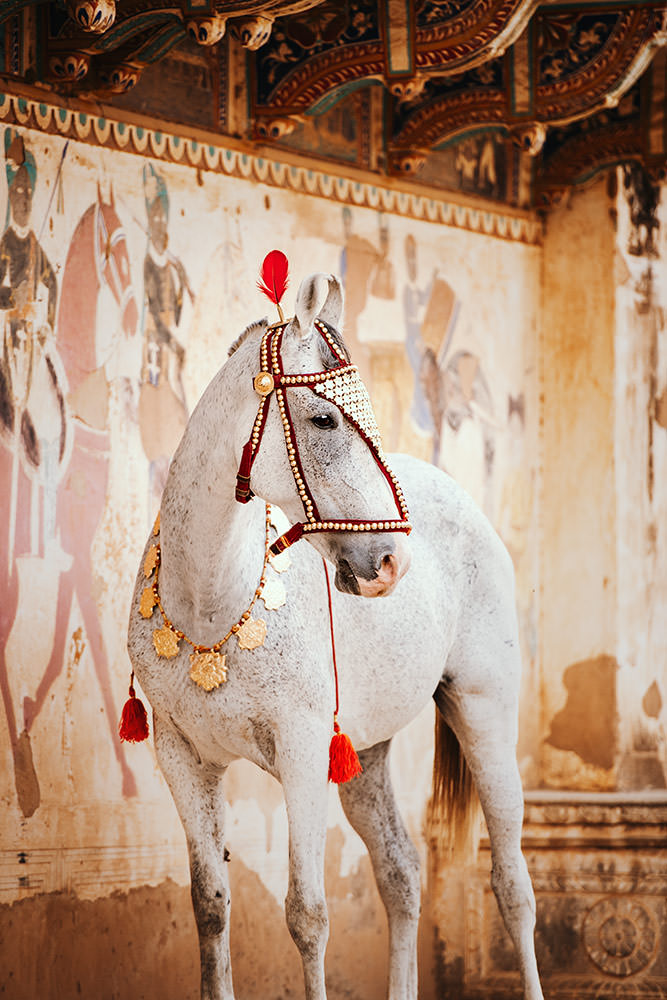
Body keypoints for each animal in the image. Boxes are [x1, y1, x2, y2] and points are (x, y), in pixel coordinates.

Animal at [127, 271, 544, 1000]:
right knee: (401, 872)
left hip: (485, 710)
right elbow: (209, 905)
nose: (389, 564)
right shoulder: (181, 755)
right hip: (366, 753)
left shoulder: (300, 750)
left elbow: (307, 913)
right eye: (323, 418)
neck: (209, 606)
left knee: (512, 883)